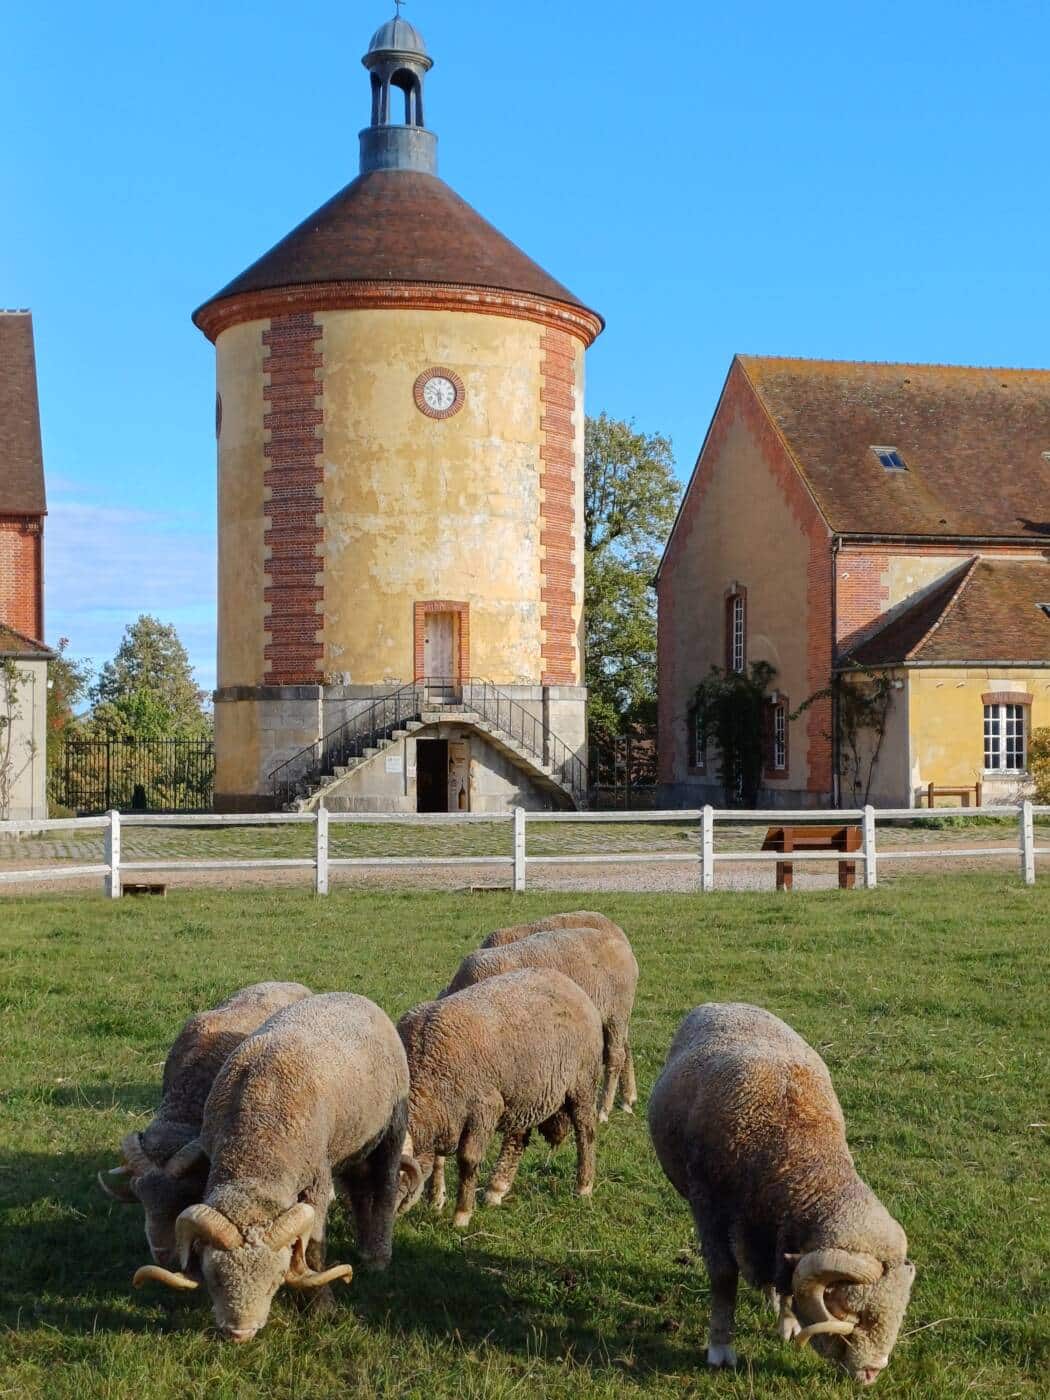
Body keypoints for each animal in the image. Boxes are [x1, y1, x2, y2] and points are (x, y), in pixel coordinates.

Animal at [130, 991, 411, 1338]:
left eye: (274, 1282)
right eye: (215, 1279)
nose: (240, 1334)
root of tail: (354, 995)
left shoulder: (317, 1180)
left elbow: (313, 1249)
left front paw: (321, 1306)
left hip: (392, 1128)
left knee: (385, 1186)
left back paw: (377, 1256)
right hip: (353, 1142)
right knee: (359, 1188)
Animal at [397, 968, 604, 1232]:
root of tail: (568, 983)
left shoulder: (484, 1109)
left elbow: (468, 1160)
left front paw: (461, 1215)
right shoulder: (446, 1116)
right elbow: (438, 1161)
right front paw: (436, 1200)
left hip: (583, 1082)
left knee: (585, 1132)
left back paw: (584, 1186)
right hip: (526, 1092)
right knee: (518, 1138)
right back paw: (497, 1189)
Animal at [442, 924, 638, 1120]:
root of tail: (625, 948)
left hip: (616, 1013)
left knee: (615, 1055)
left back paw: (604, 1109)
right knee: (625, 1048)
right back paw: (627, 1099)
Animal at [649, 1002, 912, 1383]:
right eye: (846, 1307)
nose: (872, 1372)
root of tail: (725, 1003)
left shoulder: (785, 1232)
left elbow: (789, 1281)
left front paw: (787, 1322)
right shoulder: (709, 1210)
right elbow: (724, 1279)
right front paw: (720, 1348)